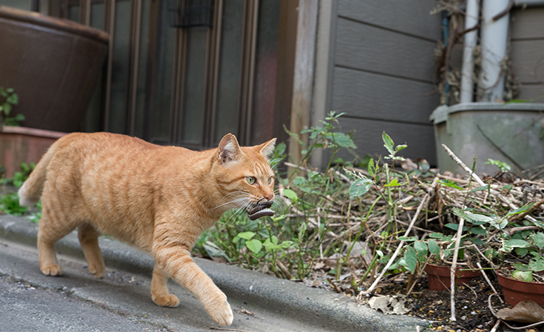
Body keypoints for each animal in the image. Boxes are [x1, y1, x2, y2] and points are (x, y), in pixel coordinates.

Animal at [18, 131, 276, 326]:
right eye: (251, 180)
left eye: (271, 179)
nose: (270, 197)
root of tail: (74, 134)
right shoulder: (170, 246)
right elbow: (200, 280)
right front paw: (220, 310)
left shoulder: (169, 246)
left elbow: (162, 272)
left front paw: (159, 296)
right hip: (61, 214)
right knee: (43, 234)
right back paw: (49, 265)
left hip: (101, 214)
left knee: (85, 234)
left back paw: (97, 268)